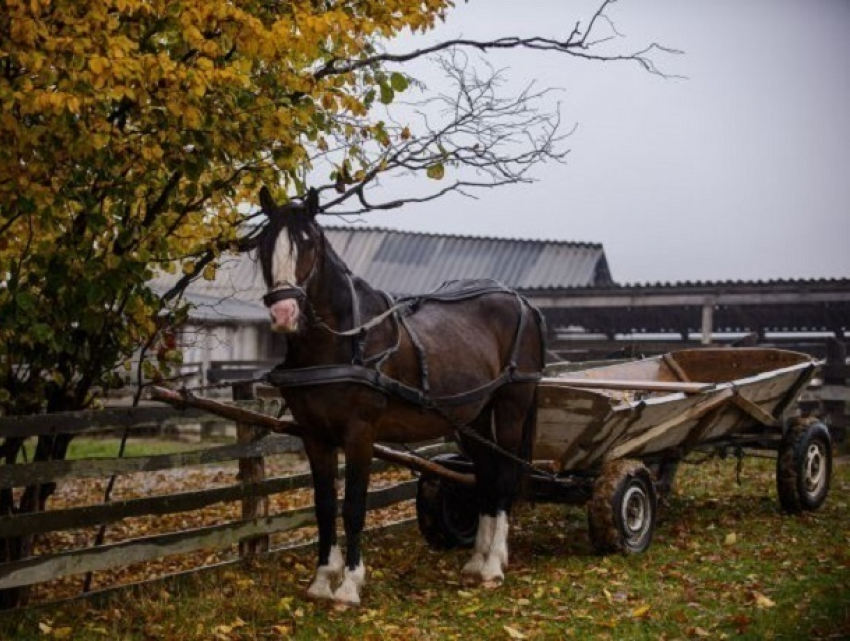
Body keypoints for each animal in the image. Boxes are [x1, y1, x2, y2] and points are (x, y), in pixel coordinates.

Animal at [253, 186, 544, 604]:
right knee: (486, 477)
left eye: (308, 242)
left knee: (503, 477)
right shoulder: (314, 435)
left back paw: (493, 564)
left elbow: (353, 507)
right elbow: (324, 507)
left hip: (510, 408)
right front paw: (322, 580)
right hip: (472, 417)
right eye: (263, 243)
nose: (284, 313)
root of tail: (523, 301)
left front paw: (349, 585)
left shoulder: (359, 434)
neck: (346, 342)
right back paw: (477, 560)